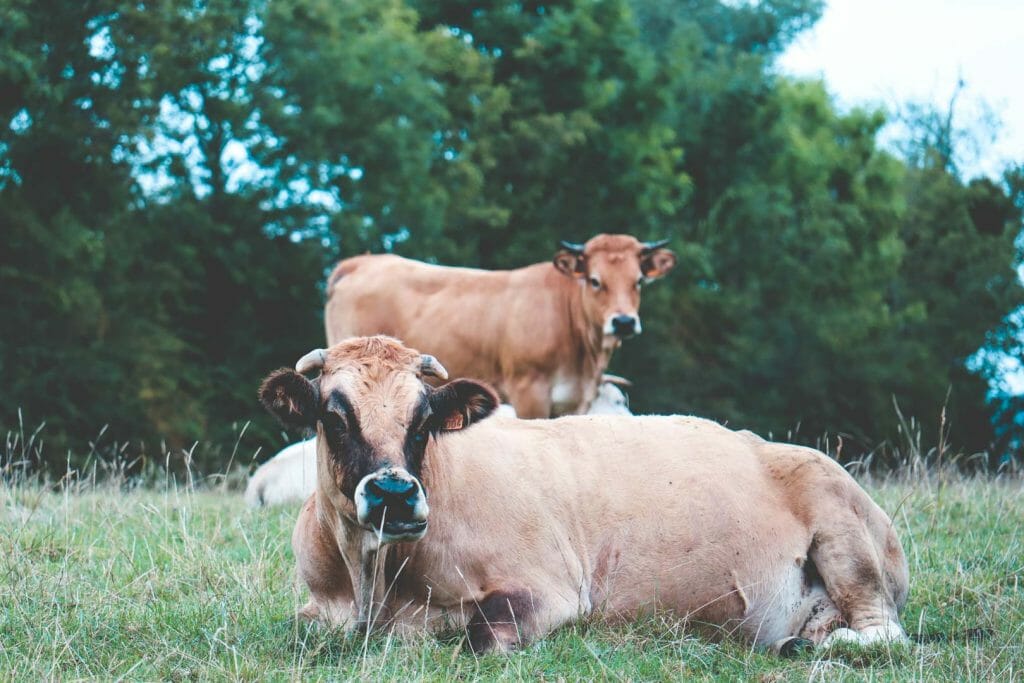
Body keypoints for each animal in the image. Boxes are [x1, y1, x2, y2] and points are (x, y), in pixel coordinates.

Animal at [323, 234, 676, 418]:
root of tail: (362, 262)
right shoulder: (529, 391)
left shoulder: (574, 401)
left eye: (639, 281)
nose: (624, 321)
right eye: (595, 280)